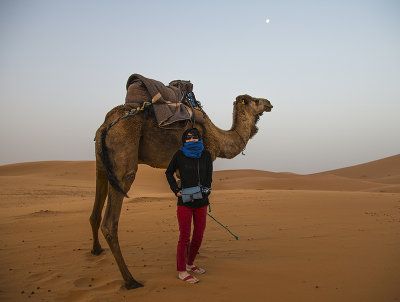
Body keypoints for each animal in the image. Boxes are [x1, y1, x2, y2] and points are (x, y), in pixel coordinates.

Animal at [89, 93, 274, 290]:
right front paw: (188, 258)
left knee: (95, 212)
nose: (269, 103)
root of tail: (106, 125)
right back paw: (131, 280)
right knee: (110, 222)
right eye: (255, 100)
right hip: (123, 158)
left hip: (102, 164)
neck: (218, 138)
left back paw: (97, 250)